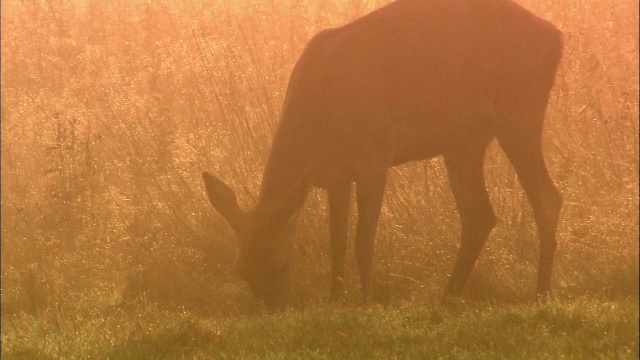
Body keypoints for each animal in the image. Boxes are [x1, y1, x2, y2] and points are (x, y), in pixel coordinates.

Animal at [202, 0, 564, 310]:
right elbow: (337, 240)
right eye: (241, 269)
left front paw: (366, 302)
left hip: (520, 114)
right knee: (479, 215)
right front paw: (335, 299)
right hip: (464, 141)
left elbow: (364, 240)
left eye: (282, 263)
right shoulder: (335, 174)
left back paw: (541, 293)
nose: (275, 310)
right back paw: (448, 295)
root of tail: (556, 36)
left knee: (547, 198)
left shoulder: (374, 155)